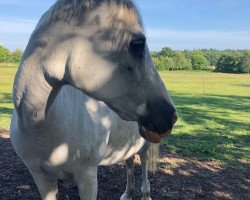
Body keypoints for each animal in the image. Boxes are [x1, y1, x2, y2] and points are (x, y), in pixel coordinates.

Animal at [10, 0, 177, 199]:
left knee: (143, 167)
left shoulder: (87, 177)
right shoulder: (41, 177)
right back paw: (127, 193)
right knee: (129, 162)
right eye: (138, 43)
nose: (171, 115)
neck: (39, 127)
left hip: (145, 145)